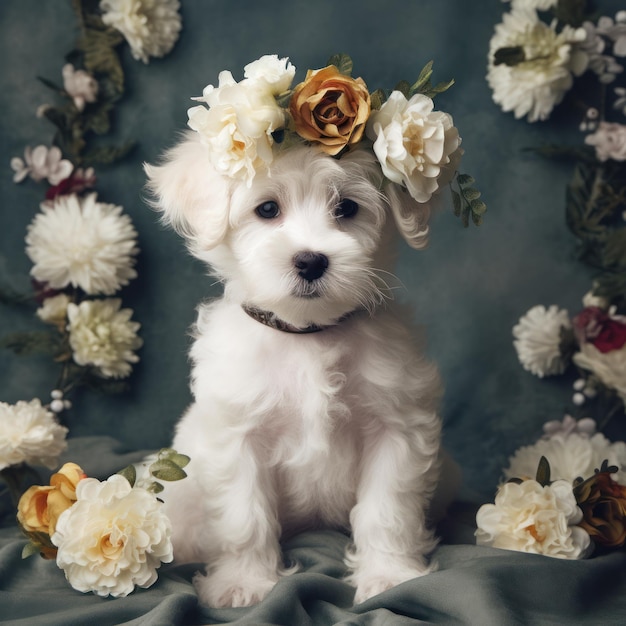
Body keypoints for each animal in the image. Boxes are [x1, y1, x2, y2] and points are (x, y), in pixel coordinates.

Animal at [144, 132, 442, 604]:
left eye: (347, 208)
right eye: (267, 209)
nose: (310, 261)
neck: (307, 334)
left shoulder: (396, 426)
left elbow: (386, 508)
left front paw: (389, 574)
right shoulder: (238, 435)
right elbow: (243, 517)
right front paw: (244, 582)